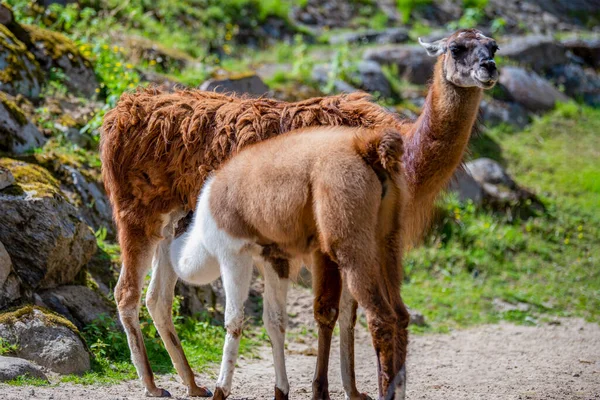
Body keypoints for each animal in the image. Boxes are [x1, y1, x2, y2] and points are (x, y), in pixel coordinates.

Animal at [169, 126, 410, 400]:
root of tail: (368, 148)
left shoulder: (234, 252)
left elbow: (234, 320)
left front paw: (220, 390)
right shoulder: (275, 259)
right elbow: (275, 322)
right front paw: (280, 390)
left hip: (348, 235)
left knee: (381, 317)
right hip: (387, 240)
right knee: (401, 315)